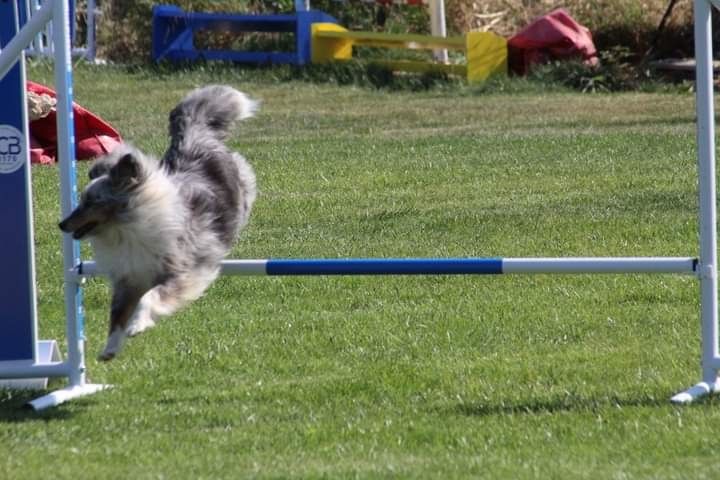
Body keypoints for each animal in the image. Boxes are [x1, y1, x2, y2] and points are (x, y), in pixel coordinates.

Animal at [59, 84, 258, 360]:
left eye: (91, 201)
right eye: (81, 200)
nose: (62, 224)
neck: (125, 229)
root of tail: (196, 137)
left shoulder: (182, 271)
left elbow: (151, 297)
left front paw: (137, 325)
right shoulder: (129, 280)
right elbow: (116, 317)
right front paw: (110, 348)